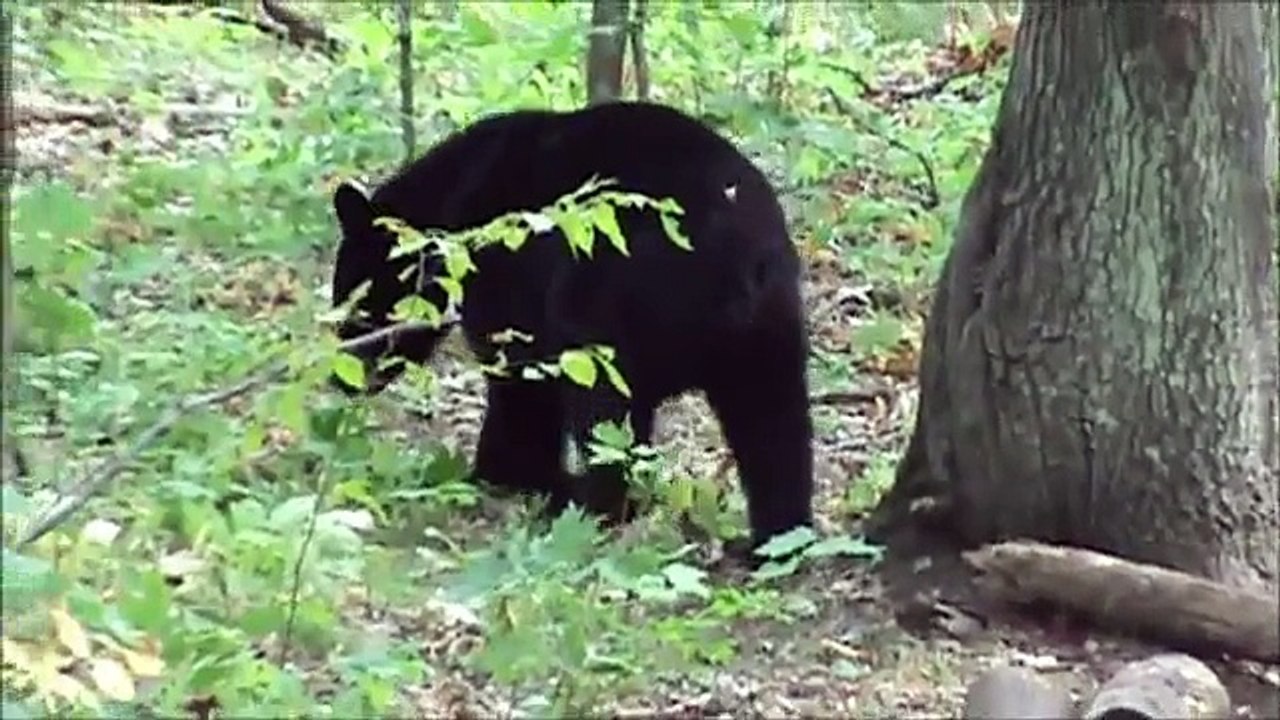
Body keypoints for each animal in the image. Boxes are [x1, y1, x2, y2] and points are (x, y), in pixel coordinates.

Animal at [328, 101, 813, 557]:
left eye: (356, 301)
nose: (341, 376)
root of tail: (734, 256)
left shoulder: (509, 283)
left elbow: (521, 387)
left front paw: (504, 473)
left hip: (604, 302)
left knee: (606, 417)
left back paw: (589, 509)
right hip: (769, 334)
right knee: (774, 427)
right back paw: (777, 540)